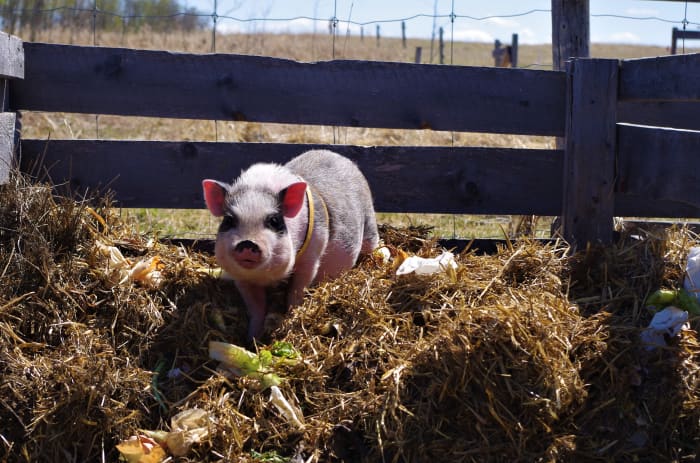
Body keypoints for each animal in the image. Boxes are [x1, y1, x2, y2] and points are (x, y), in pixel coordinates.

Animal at [200, 150, 380, 340]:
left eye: (273, 221)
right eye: (229, 220)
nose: (247, 242)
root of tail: (344, 159)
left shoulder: (311, 257)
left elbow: (296, 292)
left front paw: (290, 321)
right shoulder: (242, 278)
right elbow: (256, 308)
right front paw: (252, 339)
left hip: (370, 228)